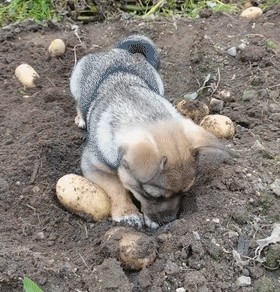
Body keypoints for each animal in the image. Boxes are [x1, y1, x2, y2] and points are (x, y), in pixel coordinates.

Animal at [70, 34, 232, 228]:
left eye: (186, 191)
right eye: (152, 195)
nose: (169, 221)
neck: (145, 113)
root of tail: (117, 50)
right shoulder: (93, 167)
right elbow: (117, 188)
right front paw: (128, 213)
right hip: (75, 80)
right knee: (78, 102)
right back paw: (80, 118)